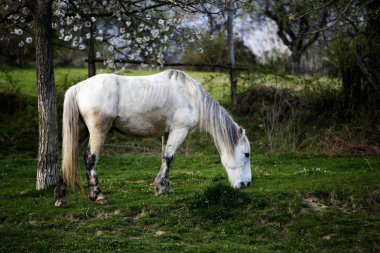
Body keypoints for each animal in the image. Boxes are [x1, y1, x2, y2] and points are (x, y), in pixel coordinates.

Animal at [53, 69, 249, 208]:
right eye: (247, 154)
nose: (245, 184)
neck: (191, 96)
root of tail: (78, 88)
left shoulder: (167, 133)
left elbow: (165, 158)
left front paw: (163, 187)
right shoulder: (179, 130)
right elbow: (169, 158)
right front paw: (162, 188)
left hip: (81, 132)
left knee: (68, 157)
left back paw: (61, 198)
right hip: (97, 131)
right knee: (90, 158)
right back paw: (98, 196)